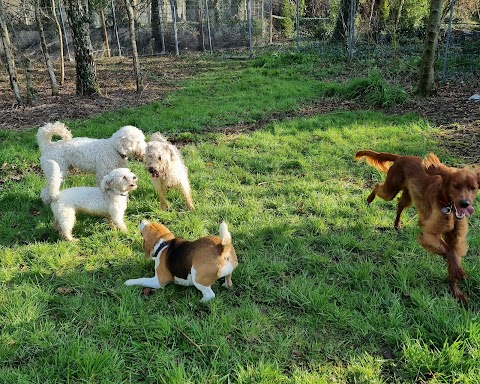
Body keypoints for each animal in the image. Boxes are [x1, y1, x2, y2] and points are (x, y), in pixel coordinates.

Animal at [354, 150, 480, 304]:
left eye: (473, 188)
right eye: (455, 186)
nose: (465, 203)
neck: (449, 206)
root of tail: (401, 157)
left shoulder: (455, 238)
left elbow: (453, 255)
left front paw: (456, 292)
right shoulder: (429, 233)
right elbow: (450, 252)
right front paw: (458, 272)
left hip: (407, 195)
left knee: (399, 206)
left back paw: (397, 225)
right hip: (391, 189)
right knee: (378, 186)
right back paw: (369, 199)